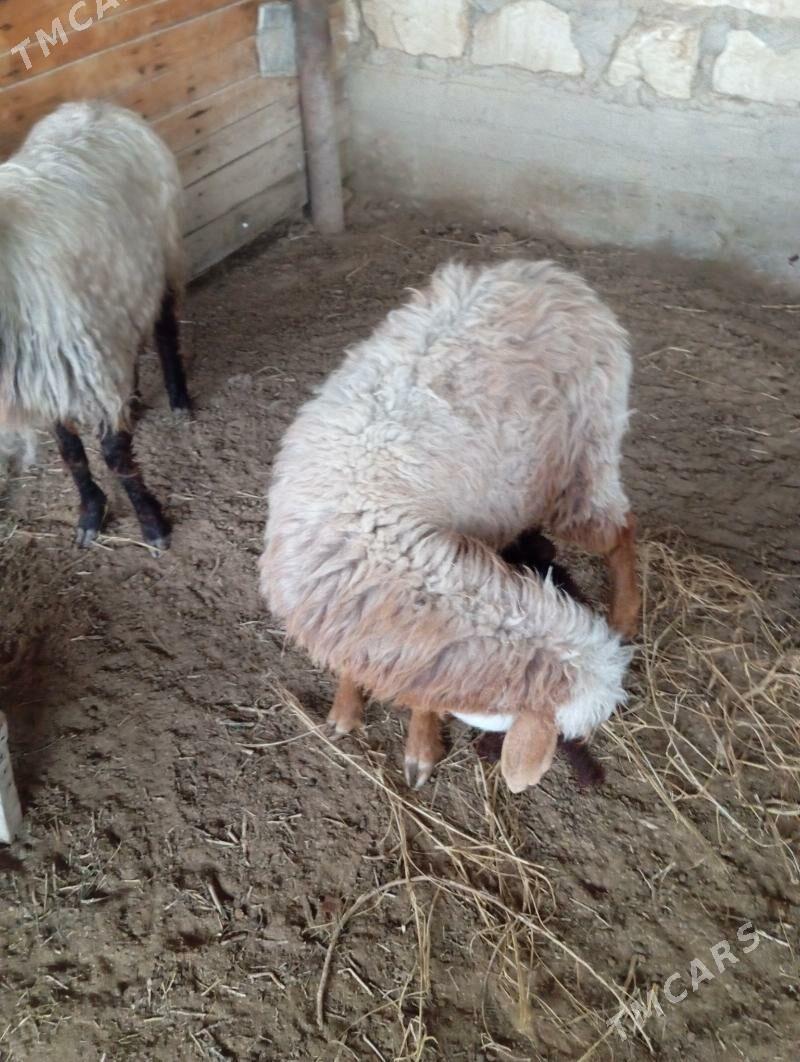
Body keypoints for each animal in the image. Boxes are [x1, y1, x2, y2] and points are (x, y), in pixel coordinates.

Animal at [0, 101, 190, 549]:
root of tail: (92, 105)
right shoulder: (49, 373)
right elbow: (71, 453)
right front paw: (90, 512)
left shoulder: (77, 360)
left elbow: (114, 455)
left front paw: (152, 523)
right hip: (114, 303)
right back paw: (134, 400)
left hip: (164, 255)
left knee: (165, 331)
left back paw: (179, 399)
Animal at [260, 258, 639, 792]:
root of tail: (552, 273)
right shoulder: (345, 612)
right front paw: (346, 709)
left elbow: (424, 697)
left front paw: (420, 748)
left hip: (585, 455)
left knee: (622, 528)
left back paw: (626, 615)